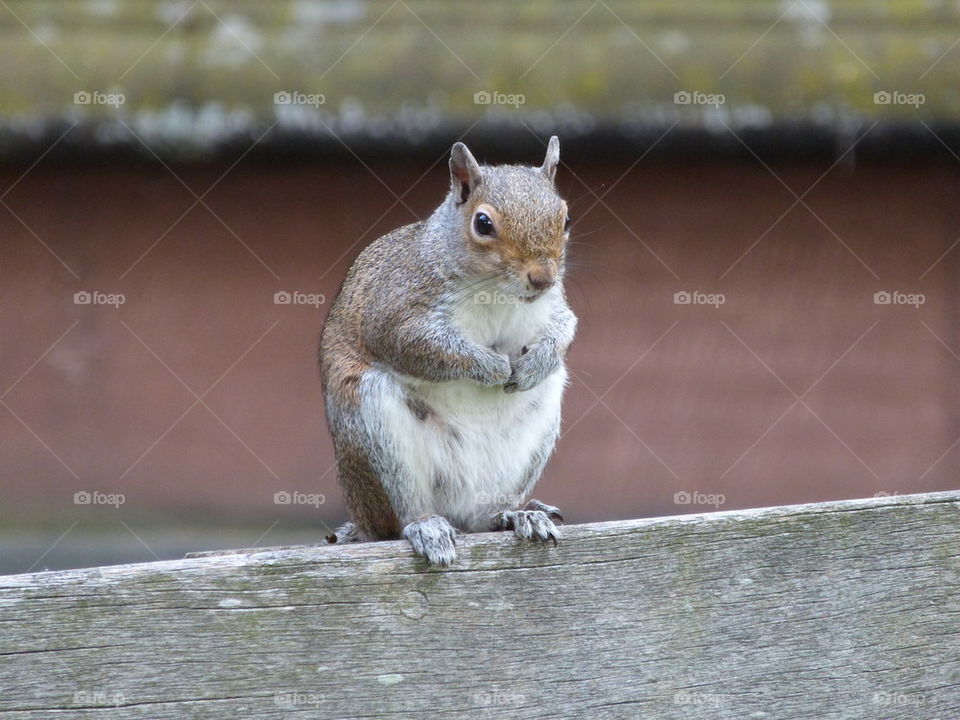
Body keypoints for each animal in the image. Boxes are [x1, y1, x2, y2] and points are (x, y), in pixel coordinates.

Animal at [319, 136, 577, 566]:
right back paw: (425, 527)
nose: (542, 277)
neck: (497, 291)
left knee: (484, 516)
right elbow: (419, 345)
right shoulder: (398, 310)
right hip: (373, 427)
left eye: (566, 219)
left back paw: (515, 515)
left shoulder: (553, 305)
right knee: (399, 517)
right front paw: (490, 367)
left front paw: (534, 363)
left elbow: (564, 327)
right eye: (483, 223)